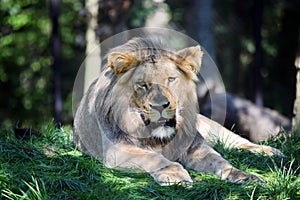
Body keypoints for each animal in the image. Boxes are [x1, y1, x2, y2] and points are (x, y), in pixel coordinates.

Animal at [73, 38, 284, 186]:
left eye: (171, 79)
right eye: (143, 85)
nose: (160, 106)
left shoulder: (196, 146)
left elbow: (221, 161)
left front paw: (245, 176)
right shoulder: (117, 149)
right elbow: (153, 157)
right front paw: (175, 174)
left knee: (238, 141)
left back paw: (271, 151)